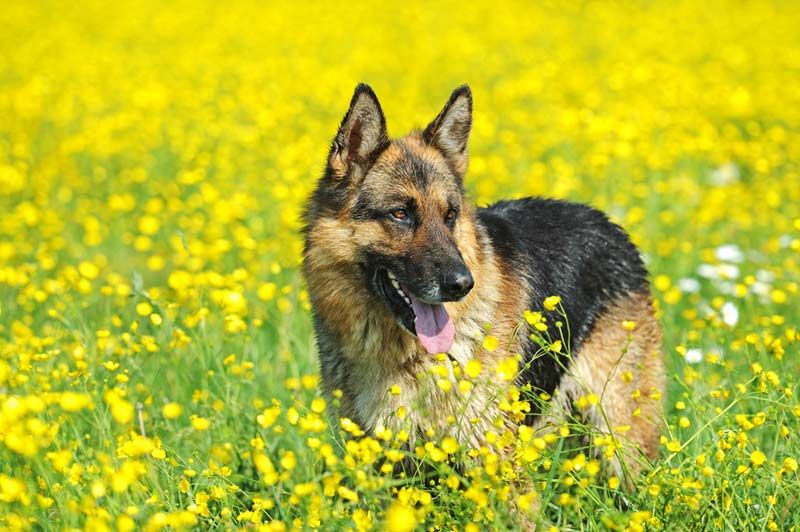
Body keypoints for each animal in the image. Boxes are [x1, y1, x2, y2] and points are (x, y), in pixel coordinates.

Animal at [300, 84, 664, 478]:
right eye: (399, 214)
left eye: (450, 215)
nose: (461, 285)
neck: (406, 357)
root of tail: (607, 222)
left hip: (621, 440)